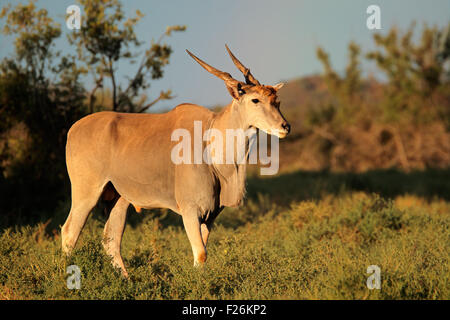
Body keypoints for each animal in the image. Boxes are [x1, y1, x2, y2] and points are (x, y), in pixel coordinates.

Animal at [60, 43, 292, 276]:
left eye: (277, 101)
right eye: (255, 100)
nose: (285, 126)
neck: (210, 140)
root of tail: (73, 129)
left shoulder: (209, 216)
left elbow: (202, 253)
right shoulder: (190, 210)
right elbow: (201, 253)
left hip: (118, 198)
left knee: (111, 239)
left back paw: (125, 279)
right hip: (86, 192)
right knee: (69, 231)